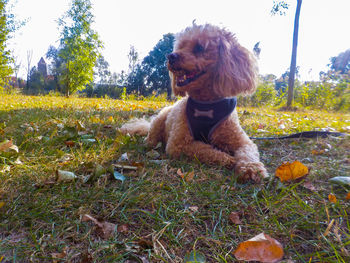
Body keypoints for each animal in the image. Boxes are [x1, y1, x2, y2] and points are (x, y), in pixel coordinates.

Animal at [120, 23, 268, 183]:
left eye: (199, 47)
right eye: (180, 46)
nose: (170, 56)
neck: (206, 105)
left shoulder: (242, 140)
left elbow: (248, 152)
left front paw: (251, 169)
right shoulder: (178, 144)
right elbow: (206, 150)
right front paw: (228, 159)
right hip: (158, 123)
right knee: (151, 140)